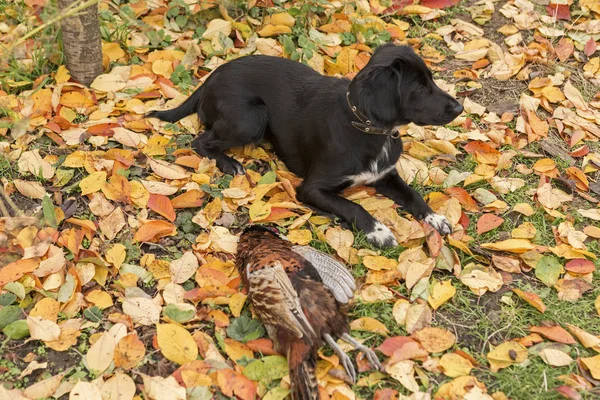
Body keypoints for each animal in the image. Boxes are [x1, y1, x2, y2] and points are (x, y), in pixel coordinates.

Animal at [149, 44, 464, 250]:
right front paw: (379, 231)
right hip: (249, 119)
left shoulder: (385, 175)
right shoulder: (312, 188)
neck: (365, 127)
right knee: (200, 141)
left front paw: (435, 218)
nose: (460, 107)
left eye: (432, 79)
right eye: (420, 89)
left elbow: (414, 196)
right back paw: (230, 163)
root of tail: (210, 78)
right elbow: (353, 205)